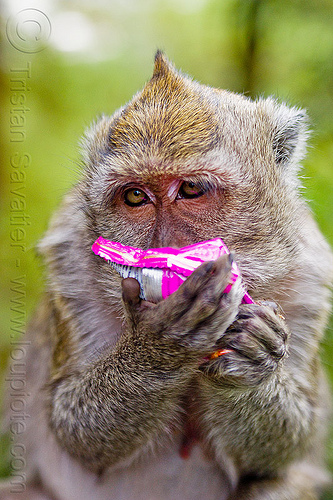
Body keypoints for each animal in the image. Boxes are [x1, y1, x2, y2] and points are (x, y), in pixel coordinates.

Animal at [0, 52, 332, 498]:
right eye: (135, 196)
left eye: (191, 189)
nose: (167, 247)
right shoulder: (69, 264)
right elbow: (75, 431)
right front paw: (157, 348)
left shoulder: (310, 277)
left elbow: (285, 447)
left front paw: (254, 356)